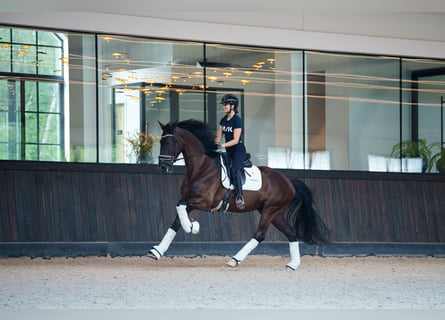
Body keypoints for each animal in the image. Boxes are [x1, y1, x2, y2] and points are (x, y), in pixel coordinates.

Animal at [150, 119, 330, 268]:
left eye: (169, 141)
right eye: (161, 141)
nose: (162, 167)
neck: (201, 168)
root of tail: (289, 182)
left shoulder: (204, 202)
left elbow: (179, 208)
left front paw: (193, 227)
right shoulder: (190, 200)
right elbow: (176, 221)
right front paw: (157, 251)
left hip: (271, 210)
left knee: (259, 234)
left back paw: (235, 259)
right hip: (274, 212)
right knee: (291, 233)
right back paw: (293, 264)